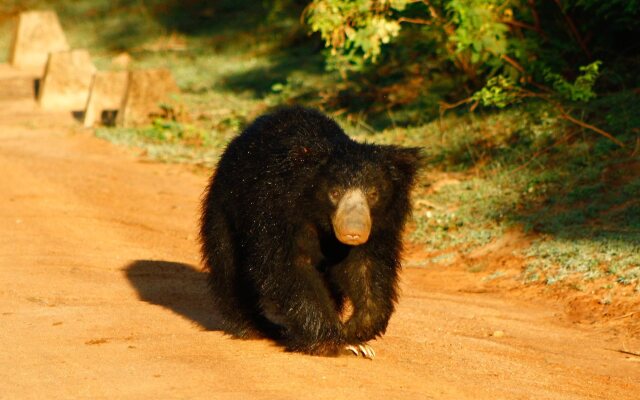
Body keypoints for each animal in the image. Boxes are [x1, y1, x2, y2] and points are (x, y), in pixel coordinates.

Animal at [200, 104, 420, 358]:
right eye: (335, 193)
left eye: (373, 194)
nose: (353, 232)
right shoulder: (275, 210)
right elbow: (290, 268)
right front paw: (338, 343)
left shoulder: (382, 224)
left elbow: (366, 266)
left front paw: (355, 334)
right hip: (225, 208)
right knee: (228, 265)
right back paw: (254, 326)